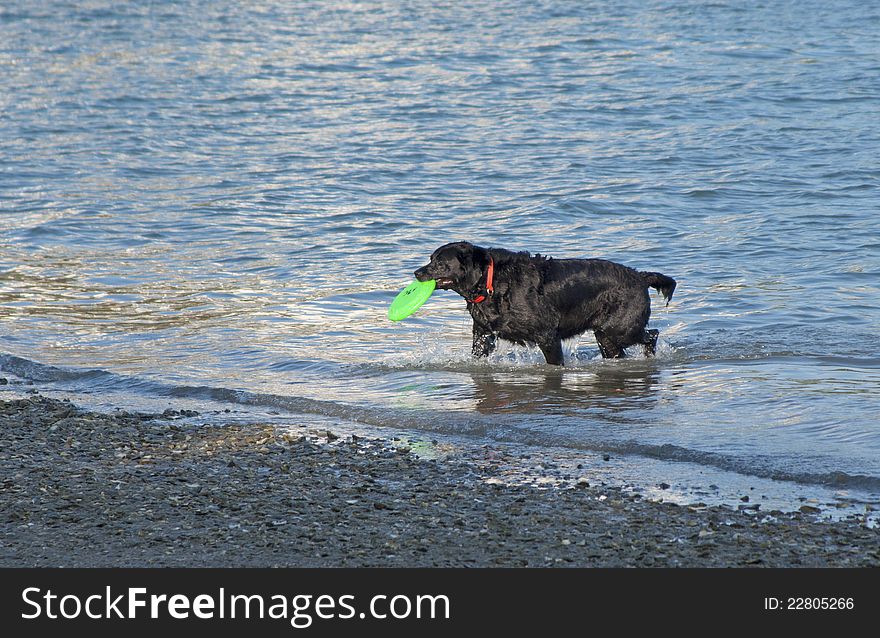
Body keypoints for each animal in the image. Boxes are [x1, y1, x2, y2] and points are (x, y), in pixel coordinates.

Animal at [416, 244, 676, 368]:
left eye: (440, 262)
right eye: (431, 259)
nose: (417, 272)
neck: (490, 282)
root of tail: (640, 277)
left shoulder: (547, 334)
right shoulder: (482, 333)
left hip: (620, 328)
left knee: (652, 334)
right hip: (606, 335)